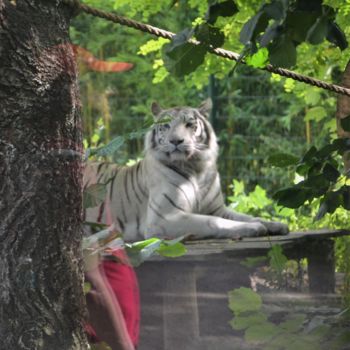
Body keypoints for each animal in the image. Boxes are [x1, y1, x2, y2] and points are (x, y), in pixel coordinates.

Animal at [83, 100, 288, 242]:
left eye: (190, 124)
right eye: (166, 126)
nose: (176, 141)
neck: (196, 168)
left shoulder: (217, 209)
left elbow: (249, 216)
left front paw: (275, 225)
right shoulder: (163, 218)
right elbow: (211, 221)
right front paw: (256, 228)